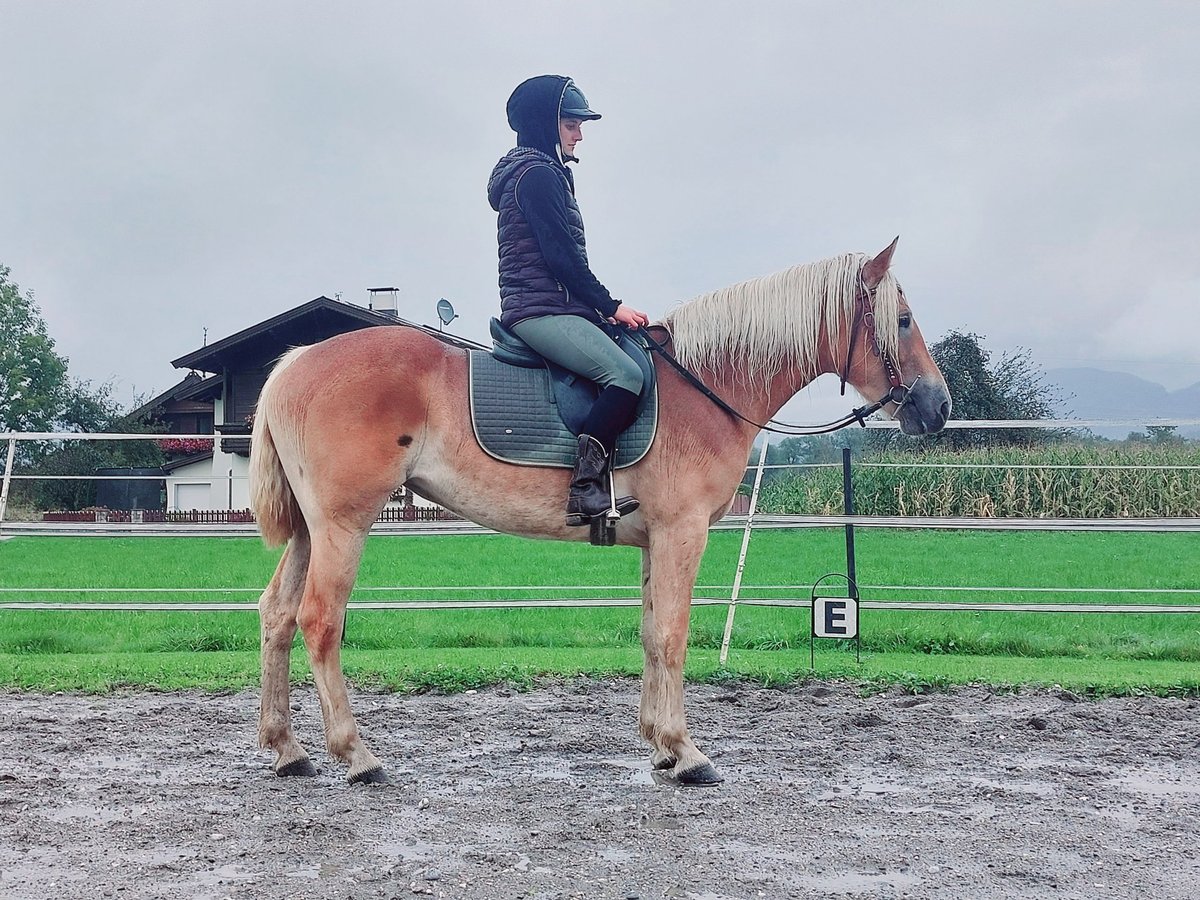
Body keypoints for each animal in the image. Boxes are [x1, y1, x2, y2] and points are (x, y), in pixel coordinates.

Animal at [248, 240, 950, 787]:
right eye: (903, 319)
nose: (937, 407)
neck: (705, 385)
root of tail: (293, 363)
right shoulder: (682, 533)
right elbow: (672, 634)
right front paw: (687, 752)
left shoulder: (655, 540)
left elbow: (649, 632)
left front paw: (659, 746)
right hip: (343, 525)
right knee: (319, 620)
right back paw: (356, 756)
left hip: (312, 530)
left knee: (277, 615)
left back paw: (288, 751)